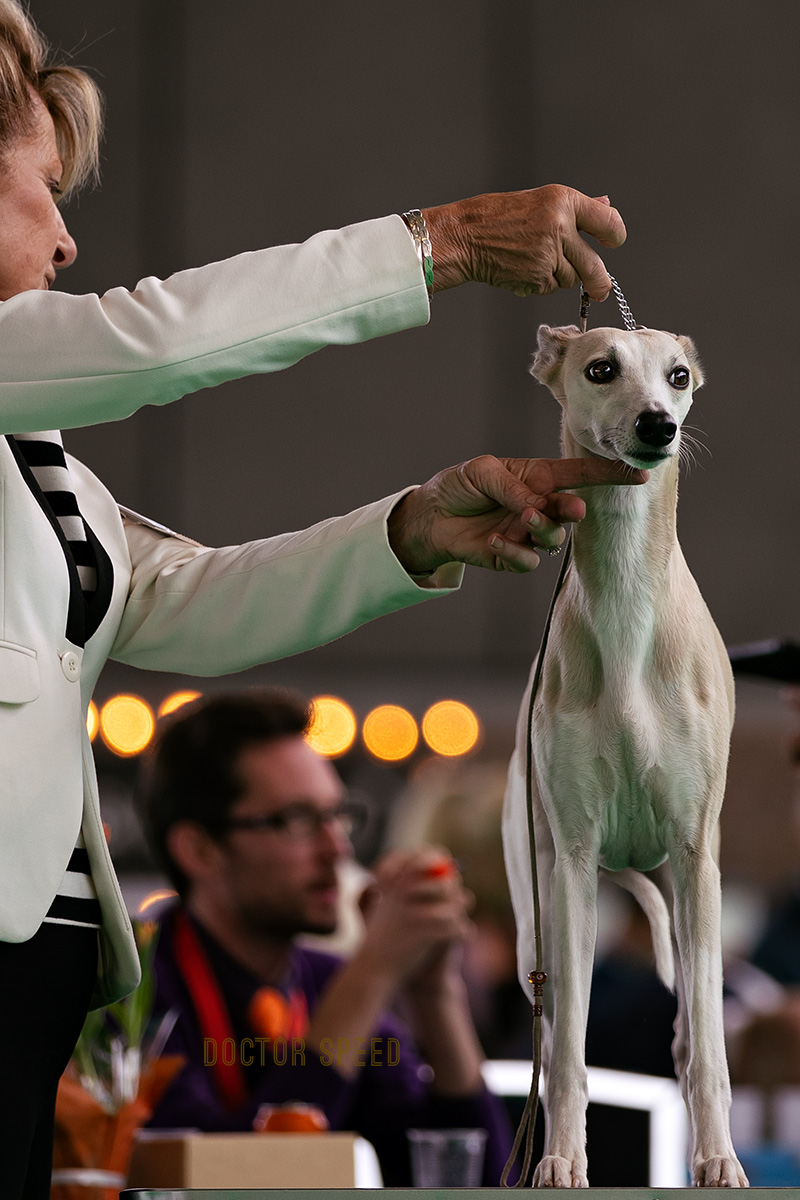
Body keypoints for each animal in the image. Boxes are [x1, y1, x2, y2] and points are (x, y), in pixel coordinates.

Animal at [502, 324, 748, 1188]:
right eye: (601, 368)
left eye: (678, 376)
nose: (657, 426)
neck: (628, 610)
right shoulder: (573, 860)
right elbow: (570, 1053)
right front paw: (562, 1162)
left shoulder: (697, 850)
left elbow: (707, 1048)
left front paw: (720, 1162)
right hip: (533, 911)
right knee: (550, 1034)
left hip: (681, 887)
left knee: (689, 1027)